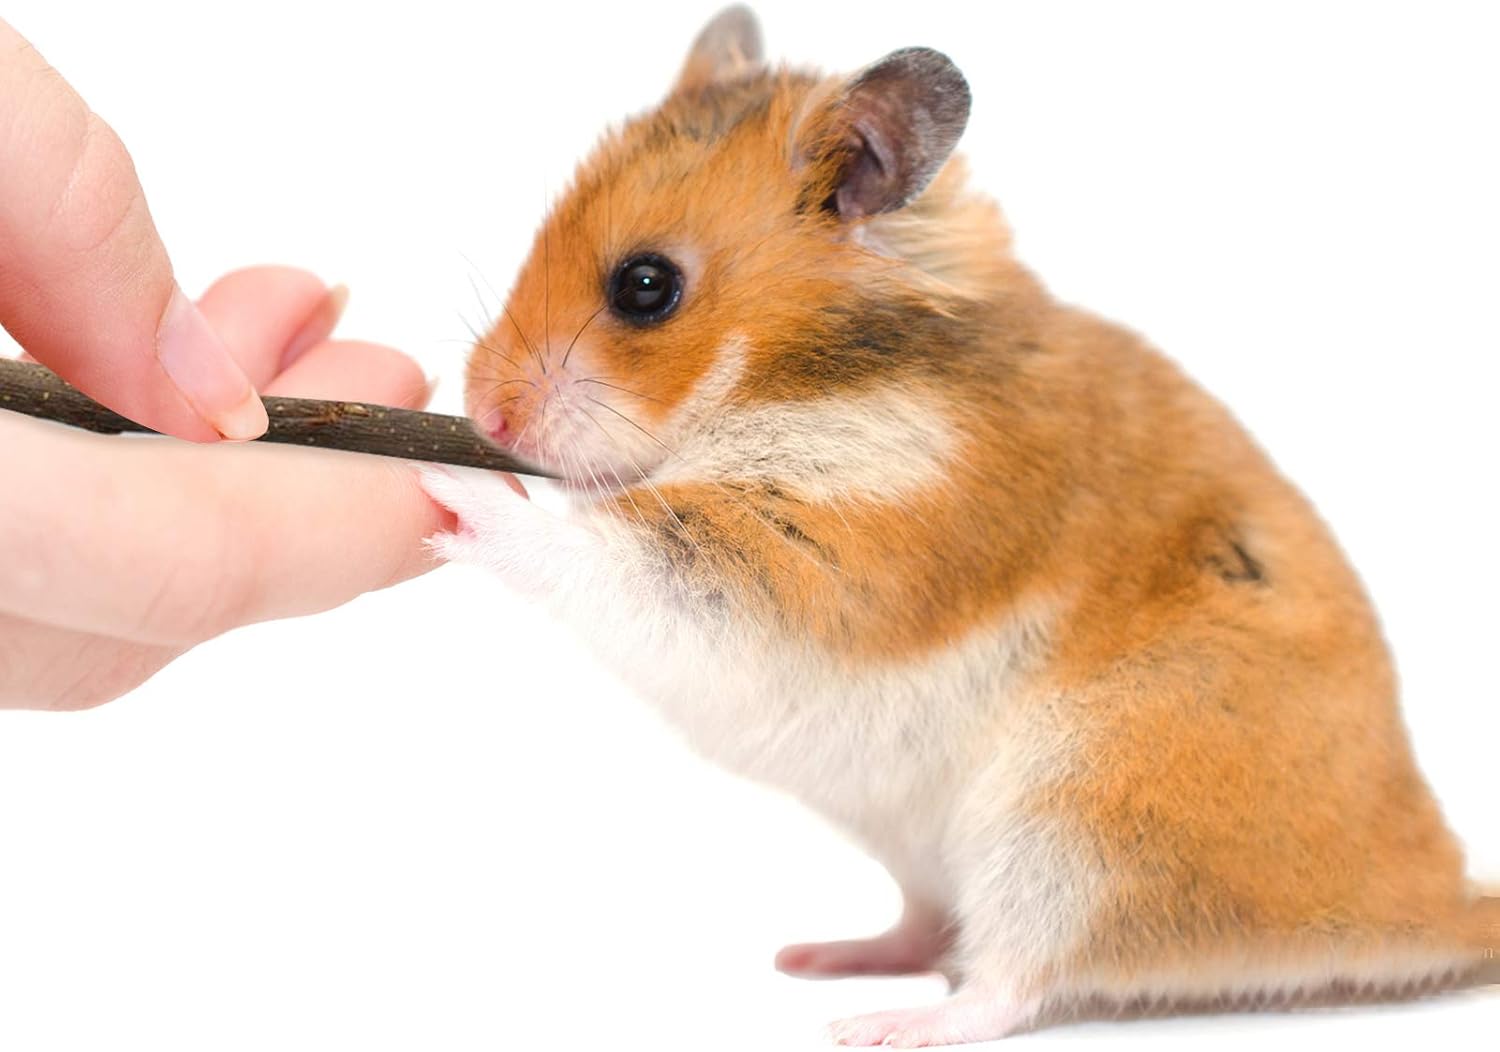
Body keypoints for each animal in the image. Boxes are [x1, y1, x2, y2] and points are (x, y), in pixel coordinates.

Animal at [422, 5, 1498, 1044]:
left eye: (645, 286)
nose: (485, 416)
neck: (814, 376)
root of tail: (1428, 894)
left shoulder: (823, 555)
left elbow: (610, 545)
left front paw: (452, 482)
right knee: (933, 925)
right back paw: (822, 957)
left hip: (1084, 811)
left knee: (1017, 978)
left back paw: (879, 1024)